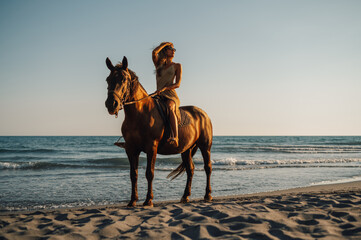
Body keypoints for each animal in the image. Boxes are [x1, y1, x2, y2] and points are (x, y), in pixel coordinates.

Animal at [104, 56, 212, 206]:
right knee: (190, 170)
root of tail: (203, 114)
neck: (139, 114)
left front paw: (148, 200)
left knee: (208, 168)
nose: (111, 104)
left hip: (205, 146)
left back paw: (208, 195)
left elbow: (149, 173)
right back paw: (185, 196)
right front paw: (133, 200)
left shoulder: (152, 147)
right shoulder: (131, 149)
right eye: (108, 79)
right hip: (186, 149)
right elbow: (133, 174)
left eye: (123, 79)